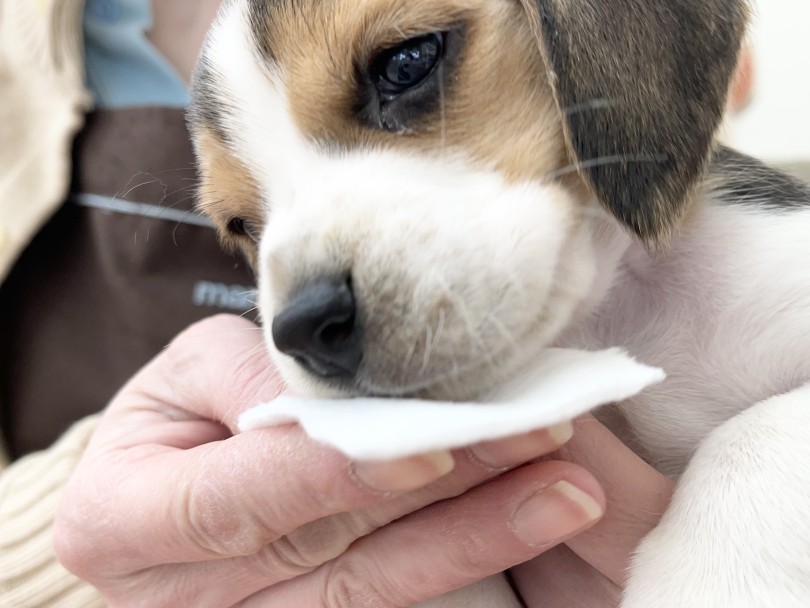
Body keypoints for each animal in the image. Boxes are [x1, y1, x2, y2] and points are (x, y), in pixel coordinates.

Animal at [188, 2, 808, 604]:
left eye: (407, 63)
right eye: (241, 225)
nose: (303, 327)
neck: (612, 309)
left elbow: (757, 431)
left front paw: (710, 581)